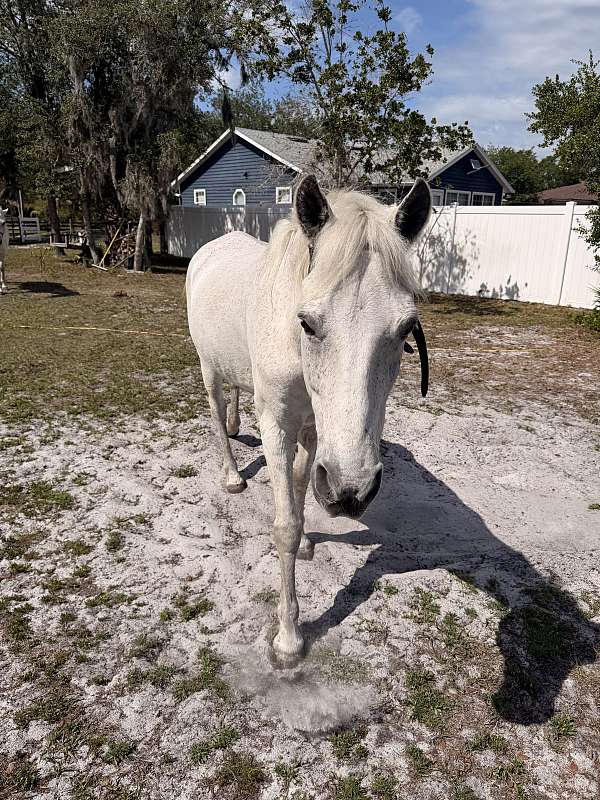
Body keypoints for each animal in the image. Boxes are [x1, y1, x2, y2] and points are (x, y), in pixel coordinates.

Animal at [186, 175, 431, 658]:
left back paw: (236, 426)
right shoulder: (278, 427)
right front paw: (289, 637)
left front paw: (304, 545)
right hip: (208, 369)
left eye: (405, 330)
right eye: (308, 323)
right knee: (216, 414)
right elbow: (285, 523)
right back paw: (232, 474)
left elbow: (301, 491)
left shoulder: (316, 433)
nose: (351, 491)